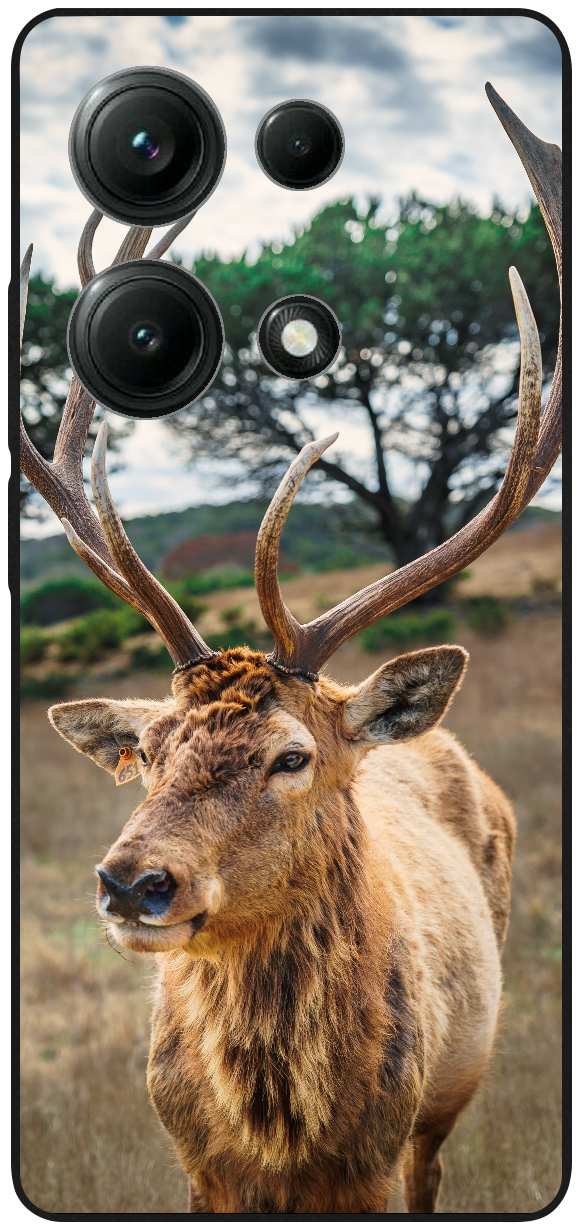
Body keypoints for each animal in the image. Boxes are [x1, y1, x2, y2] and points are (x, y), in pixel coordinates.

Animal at [19, 85, 561, 1214]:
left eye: (291, 755)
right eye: (149, 751)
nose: (132, 883)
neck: (282, 1136)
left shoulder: (383, 1157)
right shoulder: (194, 1168)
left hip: (450, 1101)